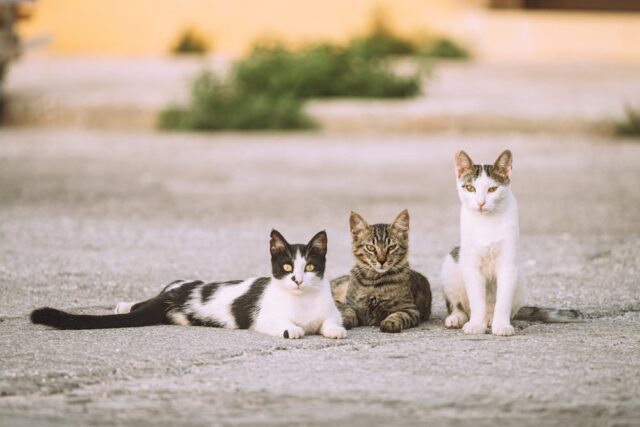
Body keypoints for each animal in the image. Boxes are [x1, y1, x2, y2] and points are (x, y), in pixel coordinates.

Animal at [30, 231, 348, 342]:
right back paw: (124, 305)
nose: (297, 280)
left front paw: (334, 331)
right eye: (287, 267)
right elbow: (286, 325)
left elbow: (332, 322)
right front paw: (293, 329)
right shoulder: (264, 318)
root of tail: (174, 294)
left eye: (309, 267)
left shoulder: (331, 312)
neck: (302, 301)